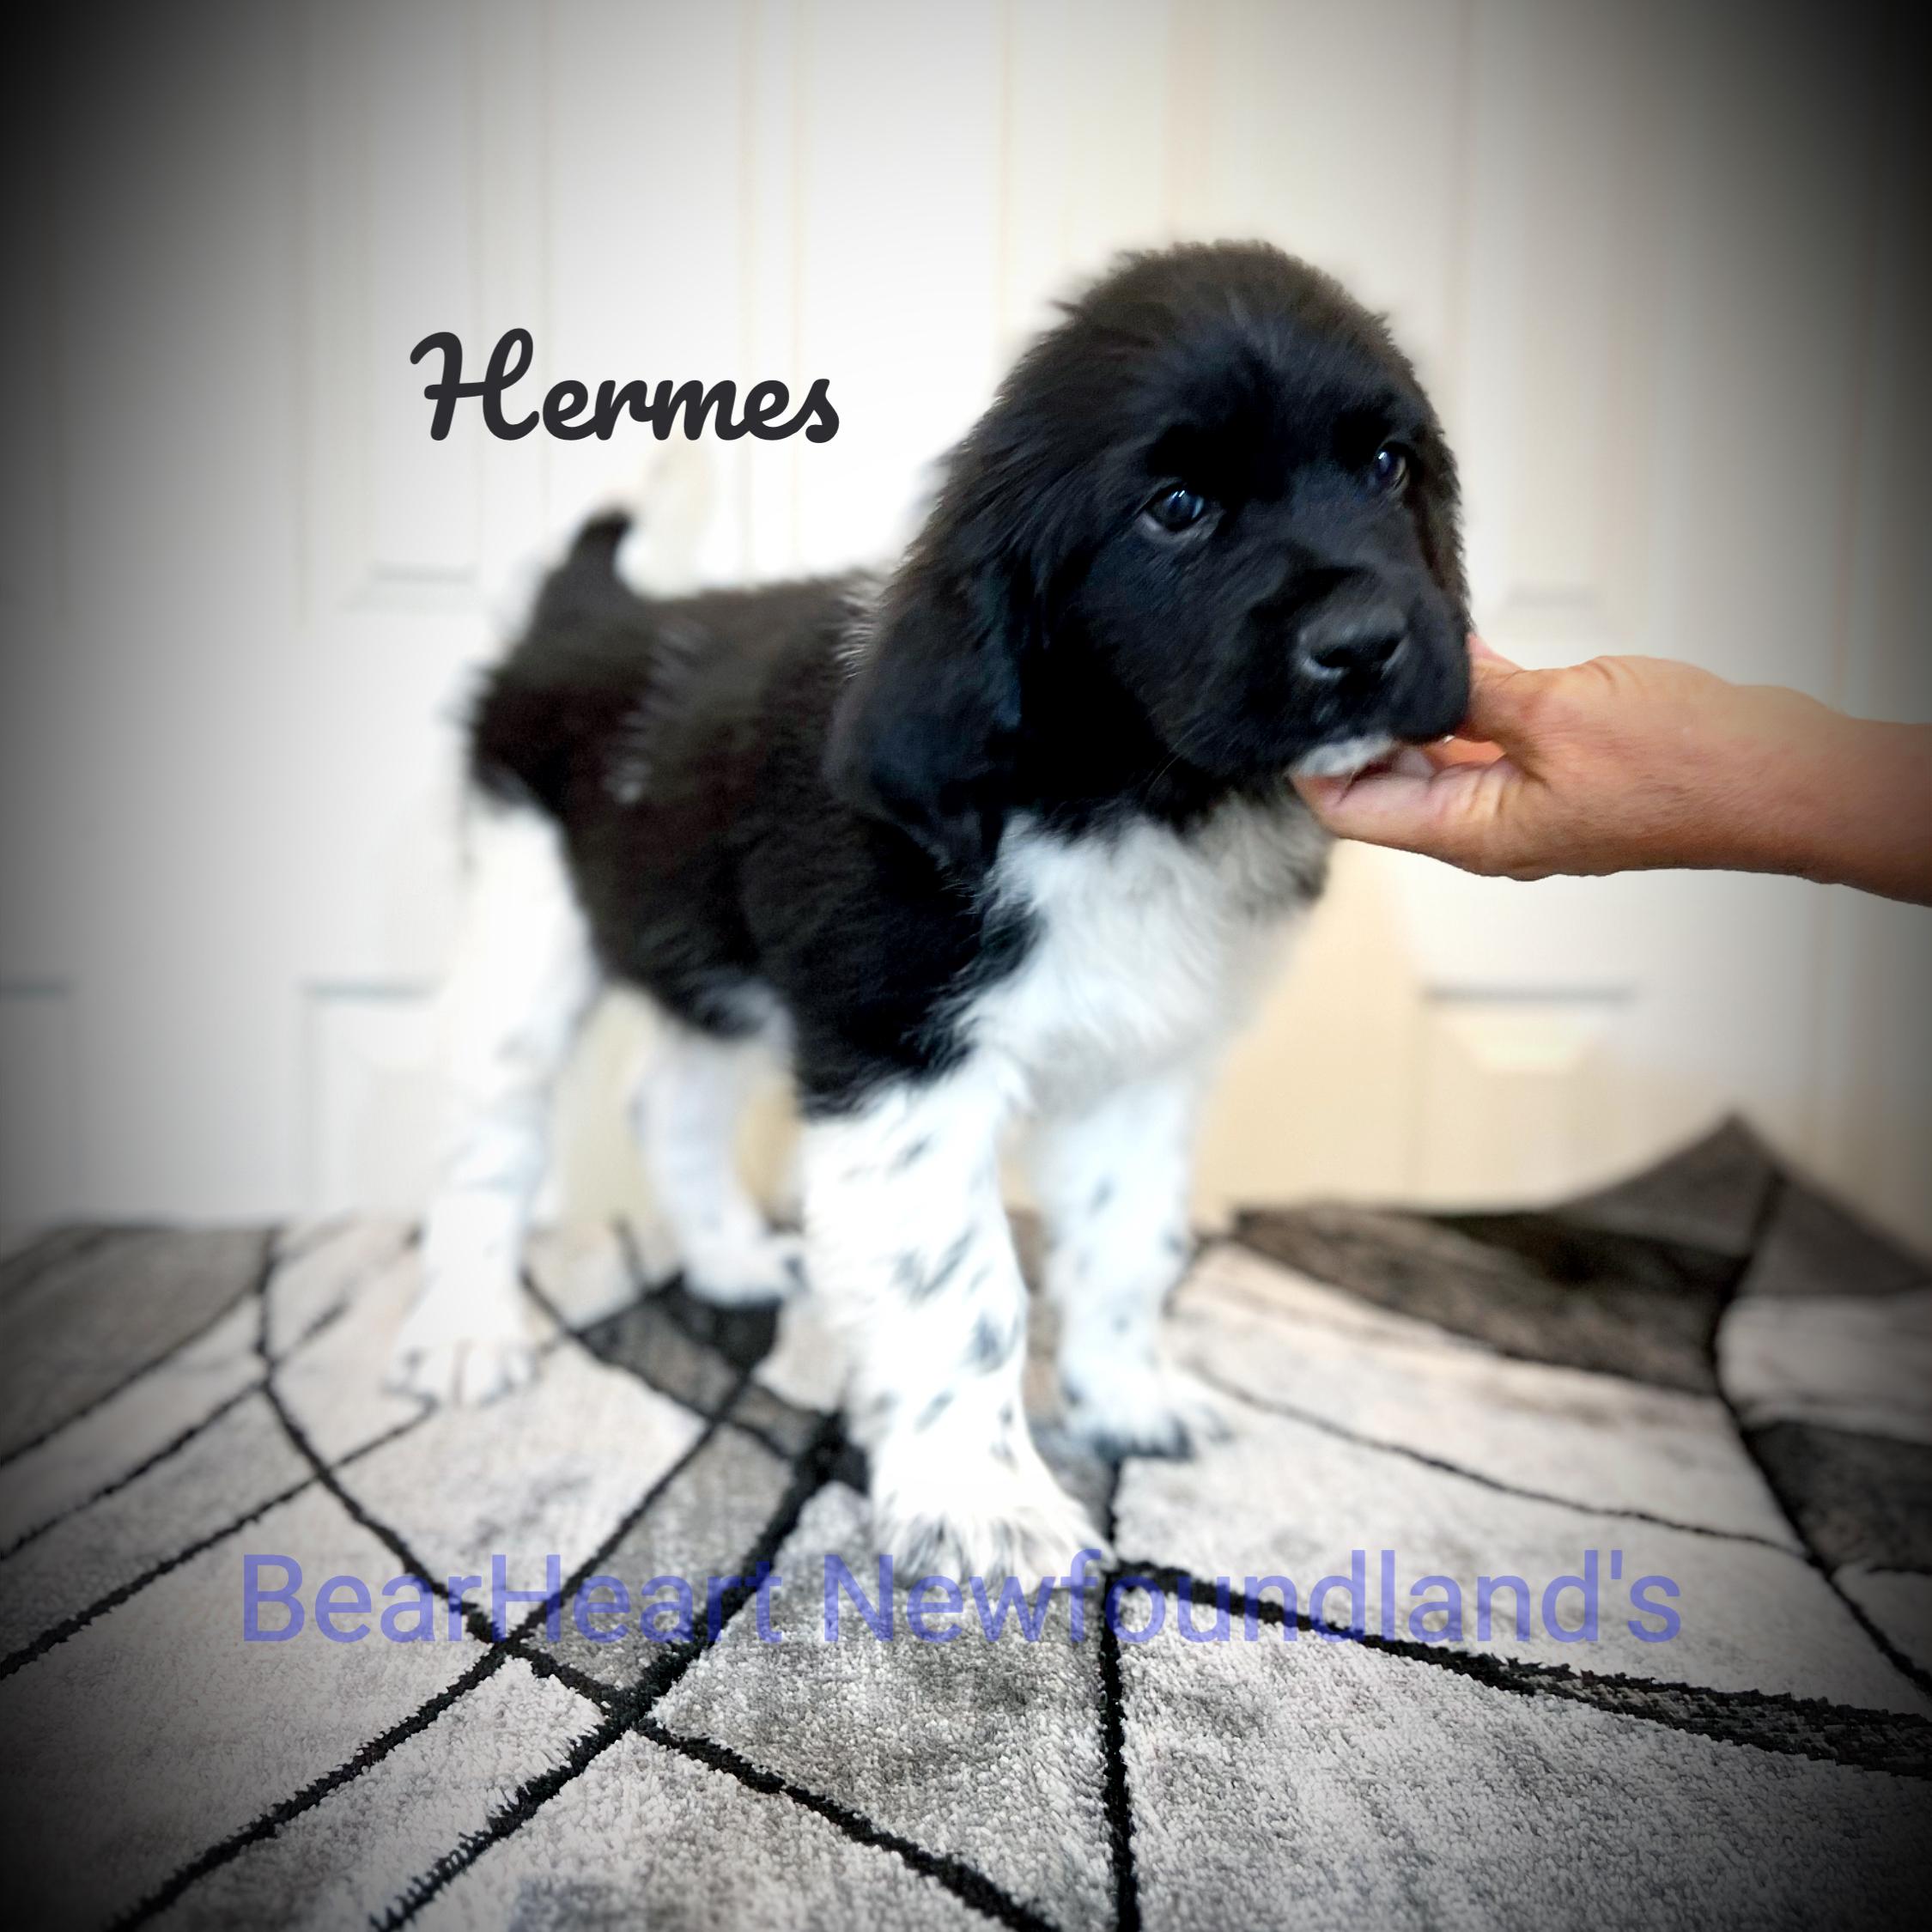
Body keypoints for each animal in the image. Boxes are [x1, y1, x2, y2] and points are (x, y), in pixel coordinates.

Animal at [389, 241, 1469, 1580]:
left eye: (1386, 465)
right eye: (1176, 507)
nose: (1366, 643)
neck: (1124, 793)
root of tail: (595, 615)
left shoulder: (1138, 1066)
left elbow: (1126, 1246)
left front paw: (1125, 1401)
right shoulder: (901, 1059)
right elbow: (962, 1288)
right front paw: (981, 1503)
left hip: (711, 963)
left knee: (667, 1103)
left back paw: (732, 1263)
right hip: (526, 924)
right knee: (488, 1144)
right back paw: (463, 1330)